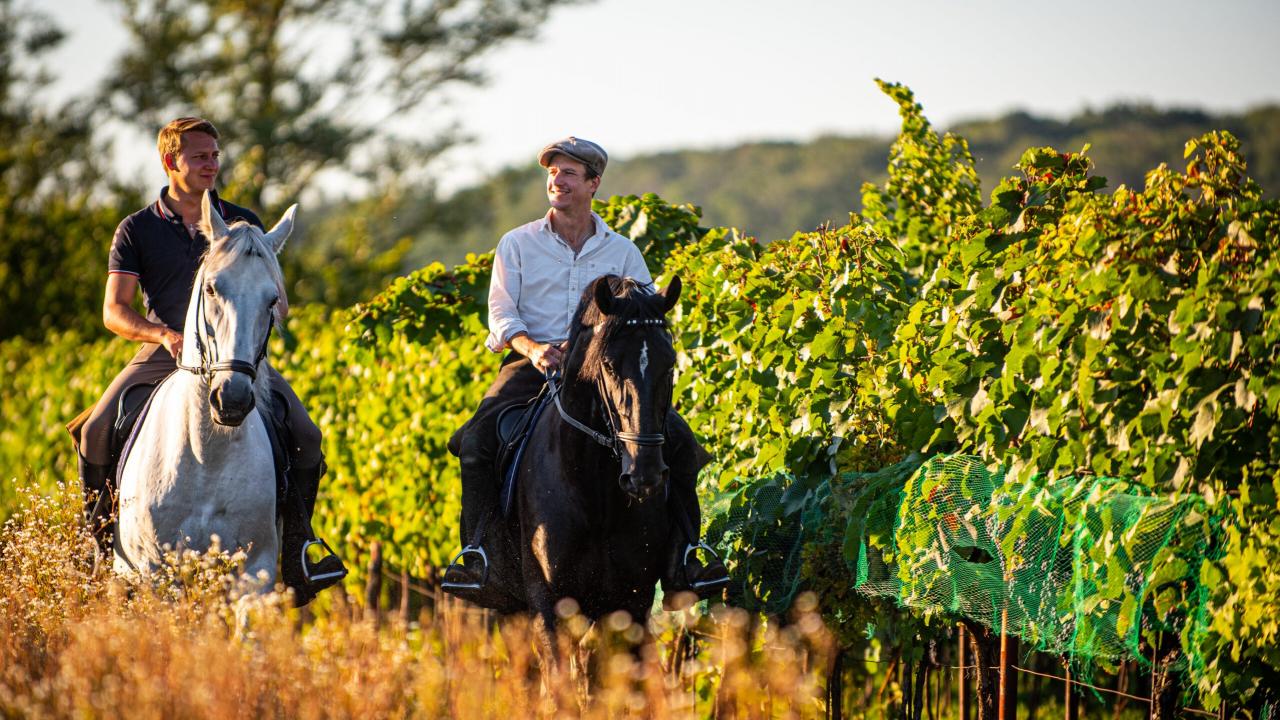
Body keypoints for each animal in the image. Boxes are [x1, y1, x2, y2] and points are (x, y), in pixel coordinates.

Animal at [113, 192, 295, 589]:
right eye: (211, 288)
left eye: (272, 300)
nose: (233, 399)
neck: (206, 454)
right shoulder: (157, 572)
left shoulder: (255, 571)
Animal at [478, 272, 680, 650]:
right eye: (609, 365)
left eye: (670, 363)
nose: (643, 474)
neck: (592, 486)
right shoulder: (548, 605)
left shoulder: (633, 602)